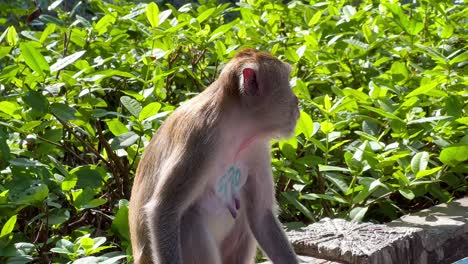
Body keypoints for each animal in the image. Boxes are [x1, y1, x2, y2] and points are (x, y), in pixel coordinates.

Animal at [129, 48, 300, 262]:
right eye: (286, 81)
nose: (297, 101)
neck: (234, 126)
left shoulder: (257, 147)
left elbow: (261, 216)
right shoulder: (198, 141)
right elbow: (163, 211)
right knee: (189, 219)